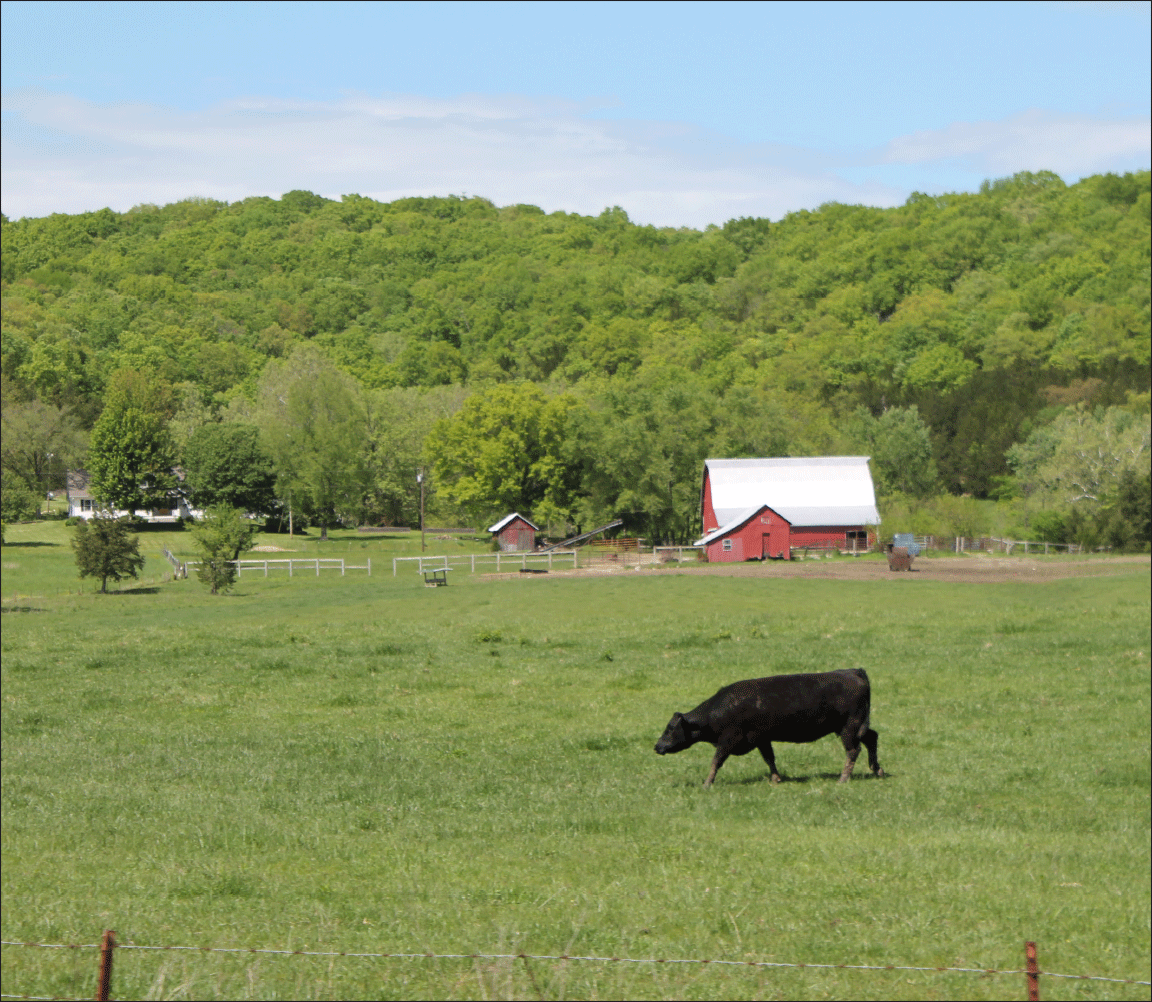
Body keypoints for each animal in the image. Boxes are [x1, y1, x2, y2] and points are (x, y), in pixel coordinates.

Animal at [654, 668, 884, 788]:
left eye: (669, 729)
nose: (657, 746)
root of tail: (852, 671)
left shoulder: (728, 740)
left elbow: (715, 762)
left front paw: (707, 783)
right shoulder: (761, 738)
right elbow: (769, 758)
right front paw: (776, 778)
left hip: (849, 728)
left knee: (853, 750)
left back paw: (843, 778)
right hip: (857, 727)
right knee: (872, 738)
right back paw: (877, 770)